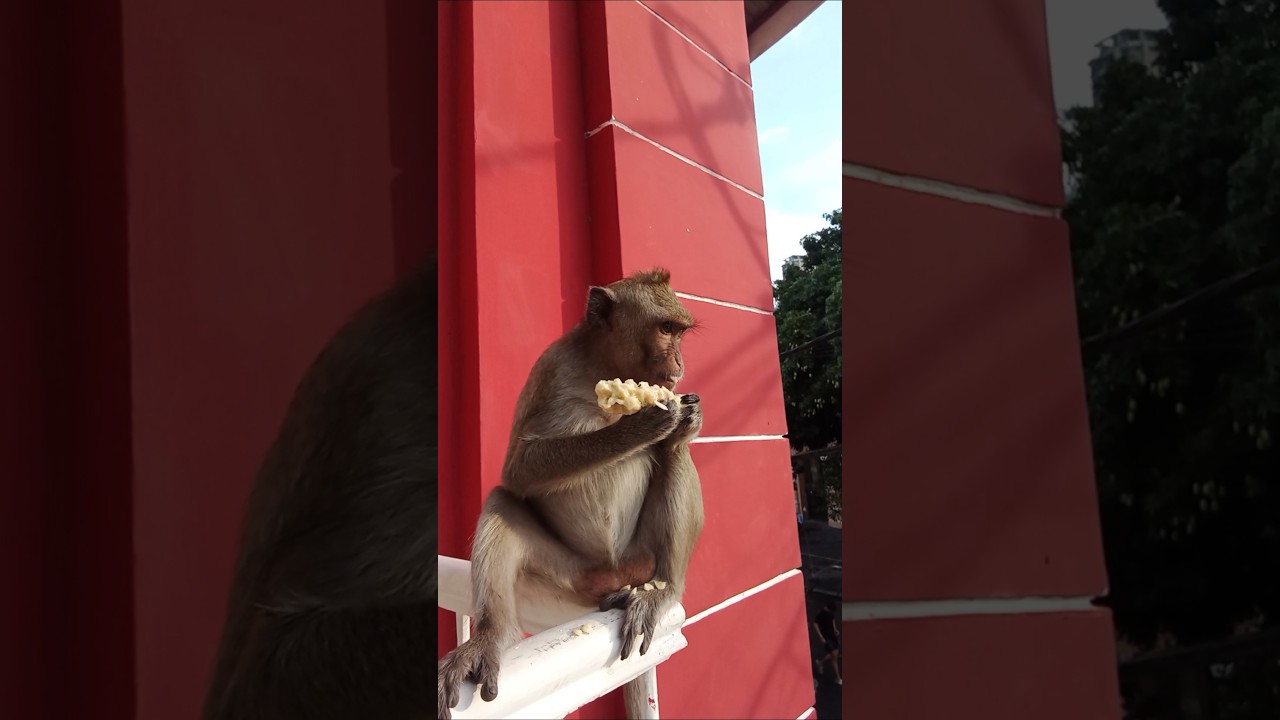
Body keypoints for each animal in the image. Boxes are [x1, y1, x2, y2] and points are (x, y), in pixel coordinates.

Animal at [437, 267, 705, 720]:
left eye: (681, 332)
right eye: (666, 329)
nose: (680, 363)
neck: (602, 365)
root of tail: (614, 573)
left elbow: (677, 440)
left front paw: (687, 418)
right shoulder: (552, 368)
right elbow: (518, 469)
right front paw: (640, 424)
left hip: (640, 556)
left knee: (675, 455)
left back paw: (664, 589)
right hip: (570, 572)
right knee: (501, 499)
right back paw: (490, 637)